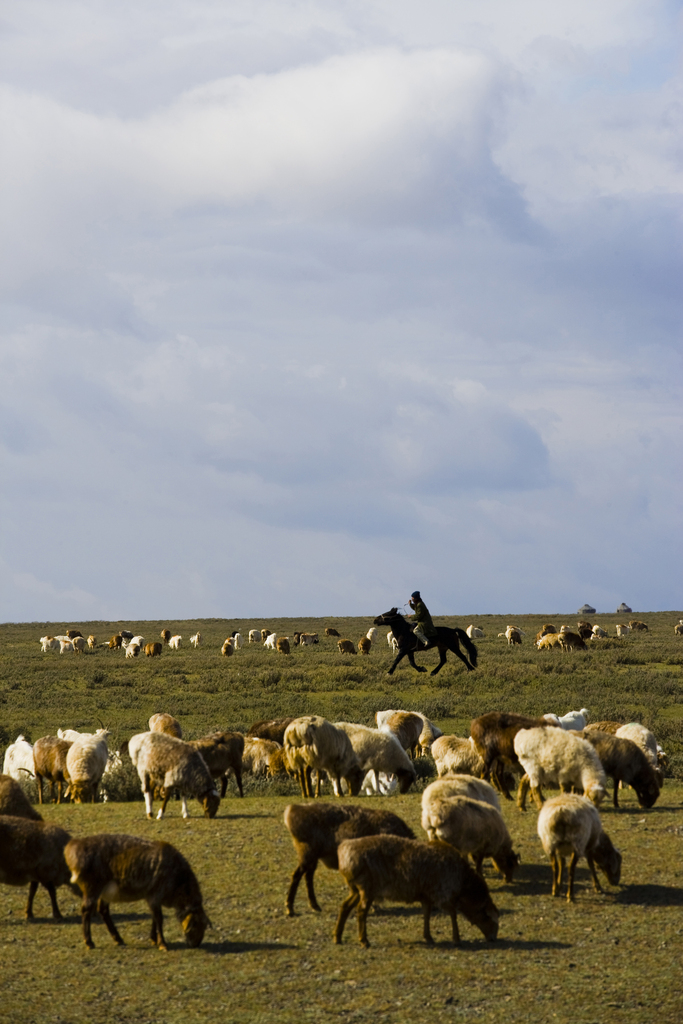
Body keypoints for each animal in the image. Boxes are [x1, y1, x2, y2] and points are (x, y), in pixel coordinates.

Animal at [64, 831, 208, 950]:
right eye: (196, 924)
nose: (195, 944)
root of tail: (72, 848)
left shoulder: (152, 898)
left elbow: (154, 918)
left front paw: (153, 939)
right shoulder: (154, 895)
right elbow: (159, 919)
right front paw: (162, 944)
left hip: (106, 891)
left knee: (103, 911)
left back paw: (118, 939)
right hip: (92, 887)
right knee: (86, 911)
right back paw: (89, 942)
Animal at [284, 794, 413, 917]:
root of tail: (290, 811)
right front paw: (374, 906)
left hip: (313, 857)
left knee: (308, 875)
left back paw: (314, 905)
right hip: (308, 854)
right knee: (297, 875)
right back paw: (290, 908)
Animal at [333, 835, 499, 946]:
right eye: (489, 917)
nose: (493, 938)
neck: (463, 883)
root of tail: (344, 851)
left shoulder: (427, 895)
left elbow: (426, 914)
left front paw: (428, 937)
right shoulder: (443, 894)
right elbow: (453, 915)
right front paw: (456, 938)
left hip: (355, 889)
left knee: (345, 906)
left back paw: (337, 937)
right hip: (367, 888)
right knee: (361, 911)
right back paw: (364, 940)